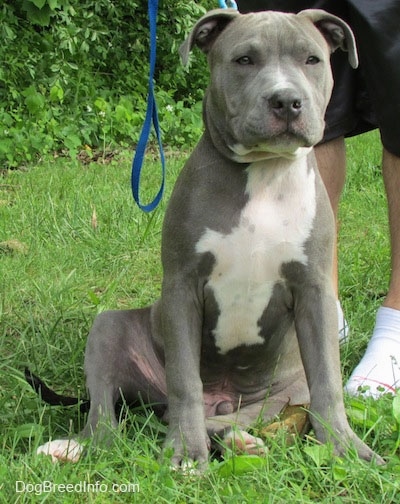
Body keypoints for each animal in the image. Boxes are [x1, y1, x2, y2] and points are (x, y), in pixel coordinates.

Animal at [35, 7, 382, 468]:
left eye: (312, 59)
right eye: (244, 60)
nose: (286, 100)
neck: (264, 172)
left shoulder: (315, 289)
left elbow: (327, 380)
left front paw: (346, 448)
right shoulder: (183, 286)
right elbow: (185, 380)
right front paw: (185, 451)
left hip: (282, 391)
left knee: (242, 416)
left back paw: (239, 441)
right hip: (110, 328)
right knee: (106, 414)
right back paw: (73, 447)